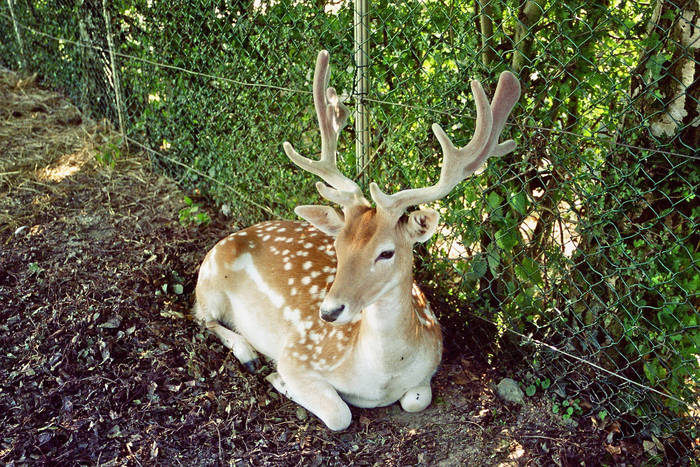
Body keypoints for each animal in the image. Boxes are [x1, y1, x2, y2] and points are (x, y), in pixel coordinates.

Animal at [191, 50, 520, 432]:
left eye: (386, 253)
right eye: (338, 247)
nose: (329, 312)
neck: (379, 378)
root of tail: (231, 236)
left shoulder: (427, 371)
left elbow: (416, 400)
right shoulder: (298, 353)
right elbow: (339, 413)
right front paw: (278, 380)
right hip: (210, 283)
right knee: (200, 316)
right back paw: (248, 354)